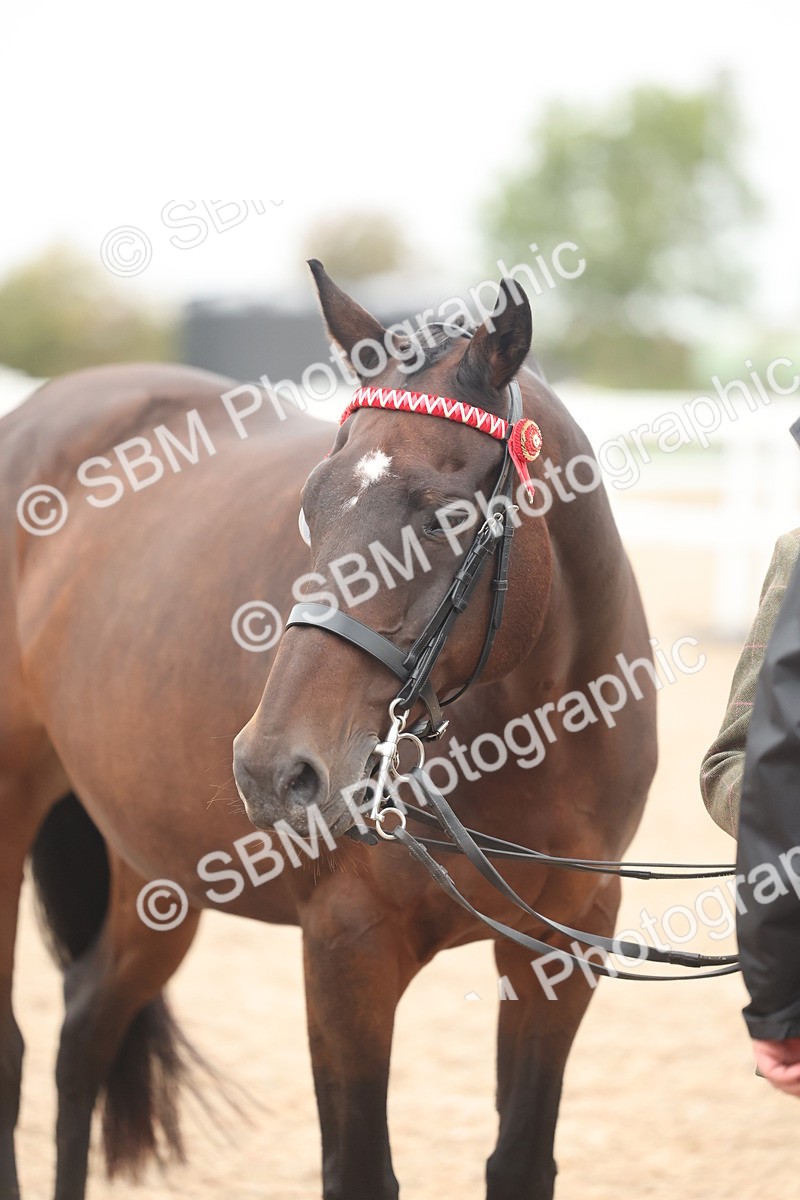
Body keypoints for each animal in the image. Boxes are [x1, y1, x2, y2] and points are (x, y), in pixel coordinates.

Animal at [0, 261, 657, 1200]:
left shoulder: (563, 945)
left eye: (445, 518)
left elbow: (522, 1159)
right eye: (311, 507)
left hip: (153, 870)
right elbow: (360, 1169)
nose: (275, 771)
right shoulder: (348, 949)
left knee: (85, 1033)